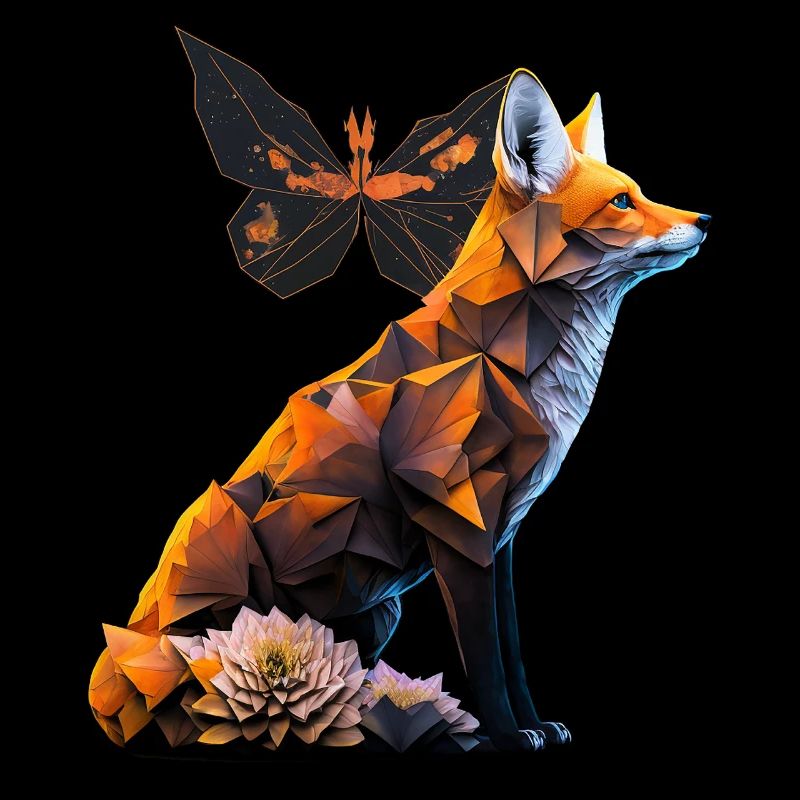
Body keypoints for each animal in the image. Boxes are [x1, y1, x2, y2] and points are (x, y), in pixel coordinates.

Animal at [90, 68, 709, 753]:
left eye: (642, 192)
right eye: (623, 202)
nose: (705, 220)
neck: (499, 351)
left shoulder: (502, 538)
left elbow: (514, 652)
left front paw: (536, 725)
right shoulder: (459, 525)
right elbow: (486, 658)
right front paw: (506, 736)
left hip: (379, 612)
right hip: (229, 559)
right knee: (211, 703)